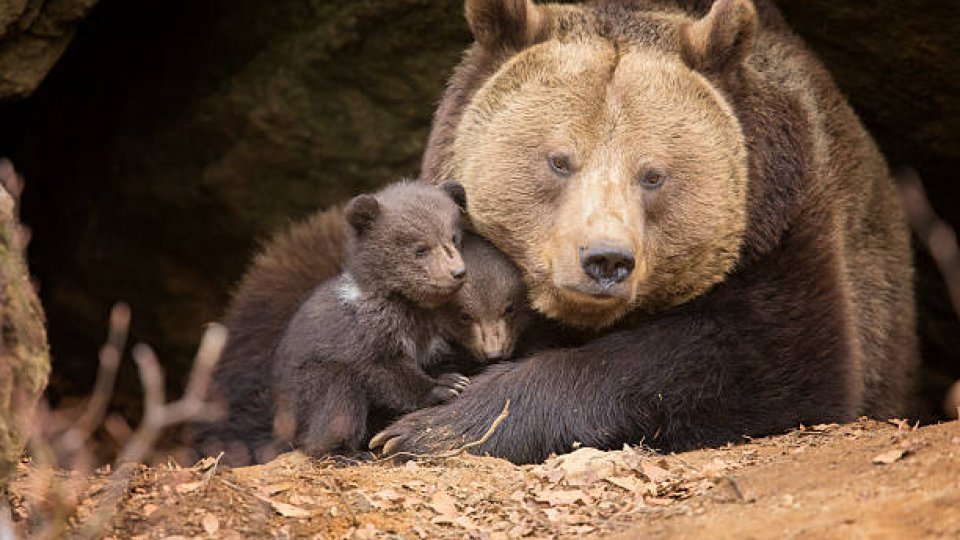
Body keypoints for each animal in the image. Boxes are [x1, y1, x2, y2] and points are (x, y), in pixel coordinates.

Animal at [269, 180, 474, 457]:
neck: (409, 305)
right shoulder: (365, 333)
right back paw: (345, 453)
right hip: (304, 389)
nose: (457, 272)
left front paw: (454, 377)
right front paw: (445, 386)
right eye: (420, 248)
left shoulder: (431, 336)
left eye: (454, 238)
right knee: (338, 401)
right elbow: (383, 371)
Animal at [364, 0, 918, 463]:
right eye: (559, 161)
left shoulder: (782, 228)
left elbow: (768, 361)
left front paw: (432, 428)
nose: (606, 259)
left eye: (653, 175)